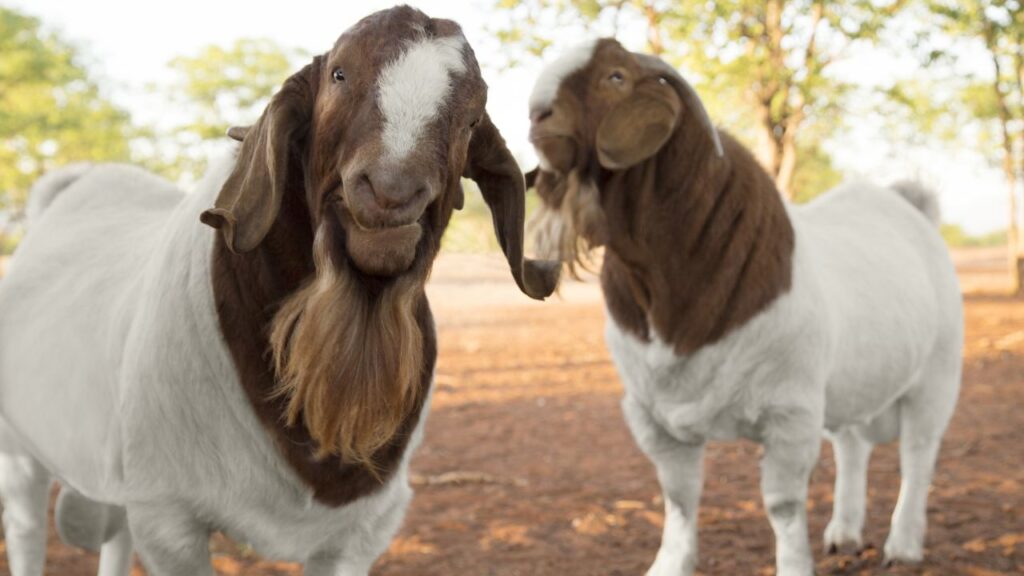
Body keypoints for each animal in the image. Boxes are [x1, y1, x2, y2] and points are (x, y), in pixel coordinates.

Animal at [0, 7, 558, 576]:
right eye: (338, 74)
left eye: (472, 119)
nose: (390, 192)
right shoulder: (169, 517)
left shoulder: (361, 533)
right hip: (19, 454)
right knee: (27, 530)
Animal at [526, 39, 962, 576]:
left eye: (615, 77)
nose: (536, 115)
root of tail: (910, 206)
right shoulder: (652, 416)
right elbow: (679, 497)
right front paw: (669, 565)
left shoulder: (789, 413)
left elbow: (783, 506)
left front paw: (795, 566)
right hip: (852, 382)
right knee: (852, 445)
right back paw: (843, 533)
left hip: (937, 376)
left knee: (918, 454)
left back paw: (903, 546)